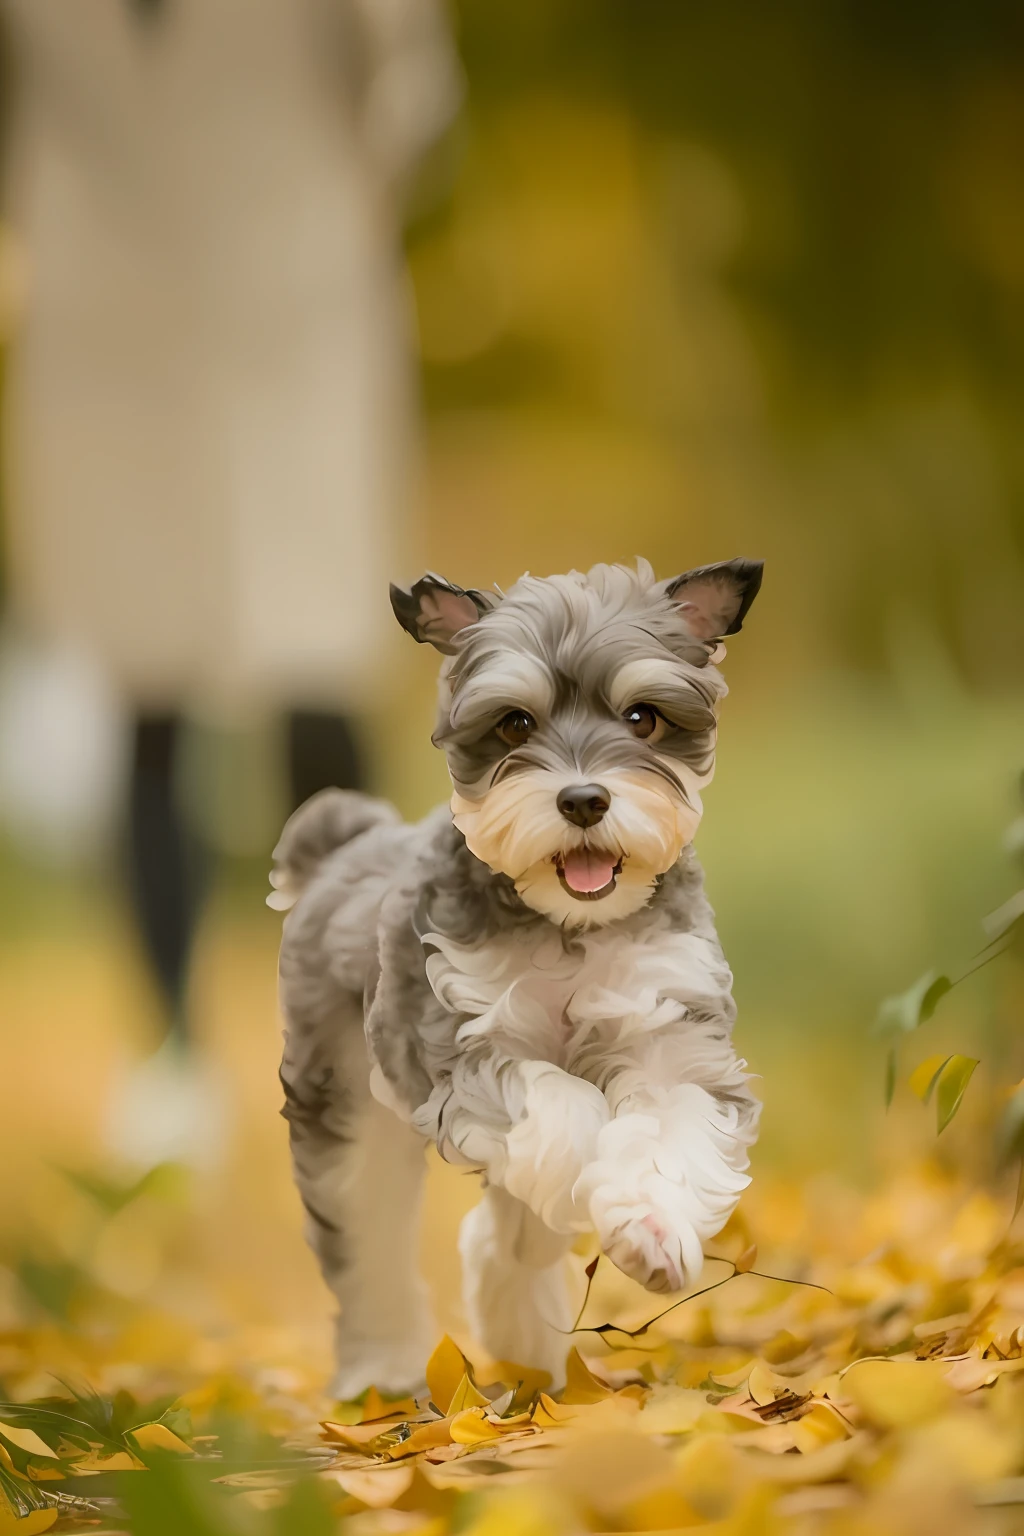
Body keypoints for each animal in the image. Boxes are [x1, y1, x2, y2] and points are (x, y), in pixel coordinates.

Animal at [270, 559, 761, 1400]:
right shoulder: (464, 1049)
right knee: (369, 1246)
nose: (584, 799)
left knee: (505, 1235)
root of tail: (341, 846)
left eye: (642, 718)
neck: (568, 931)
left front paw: (650, 1230)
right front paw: (598, 1188)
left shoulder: (669, 1037)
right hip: (345, 1108)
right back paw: (383, 1367)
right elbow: (564, 1114)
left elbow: (658, 1132)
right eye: (514, 725)